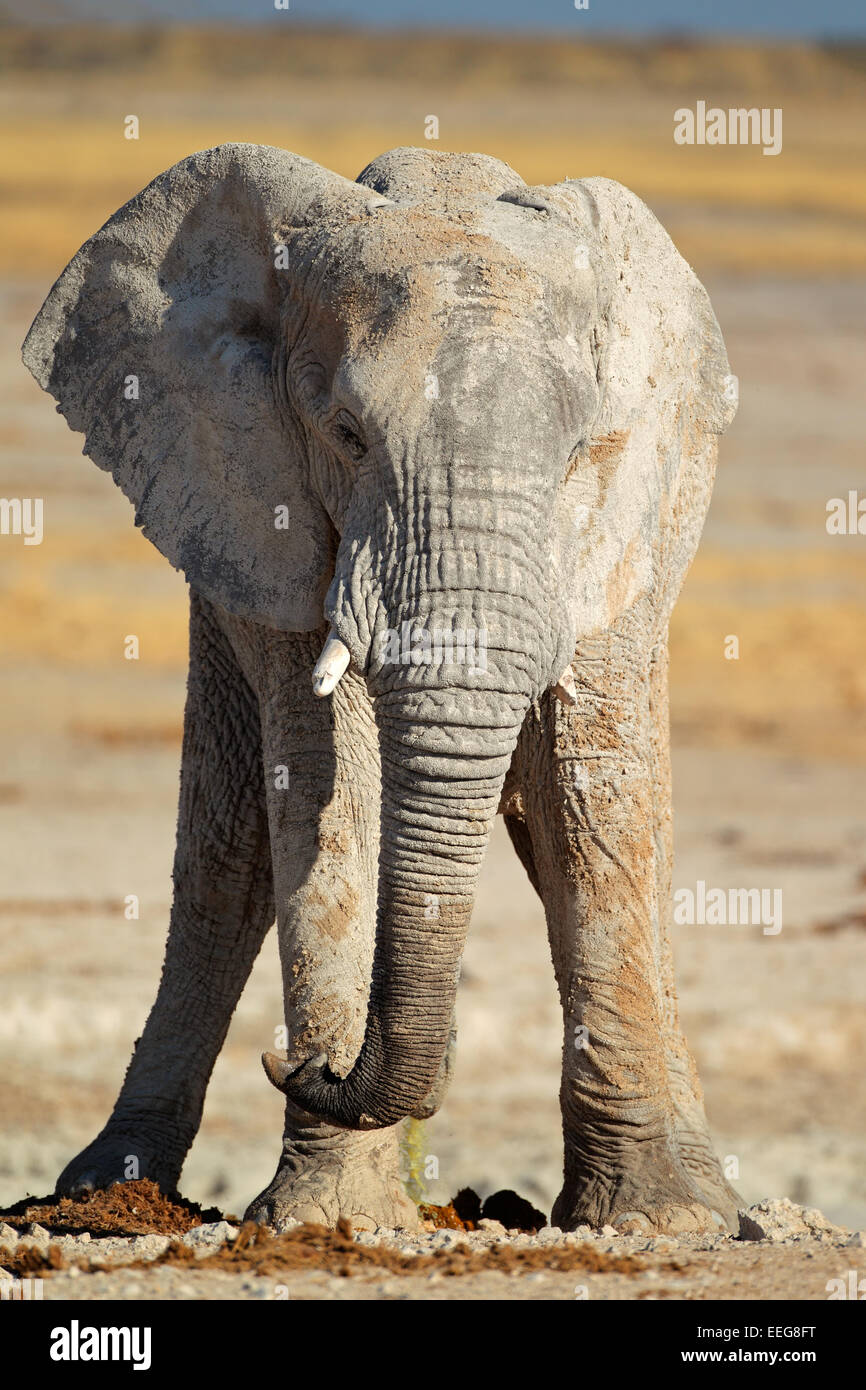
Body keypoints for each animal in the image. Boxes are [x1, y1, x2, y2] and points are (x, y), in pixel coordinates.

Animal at [22, 141, 739, 1234]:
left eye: (580, 451)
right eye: (347, 434)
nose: (299, 1062)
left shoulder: (622, 519)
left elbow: (593, 809)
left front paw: (658, 1224)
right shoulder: (266, 503)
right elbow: (328, 785)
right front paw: (328, 1219)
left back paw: (720, 1205)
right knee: (225, 853)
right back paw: (108, 1191)